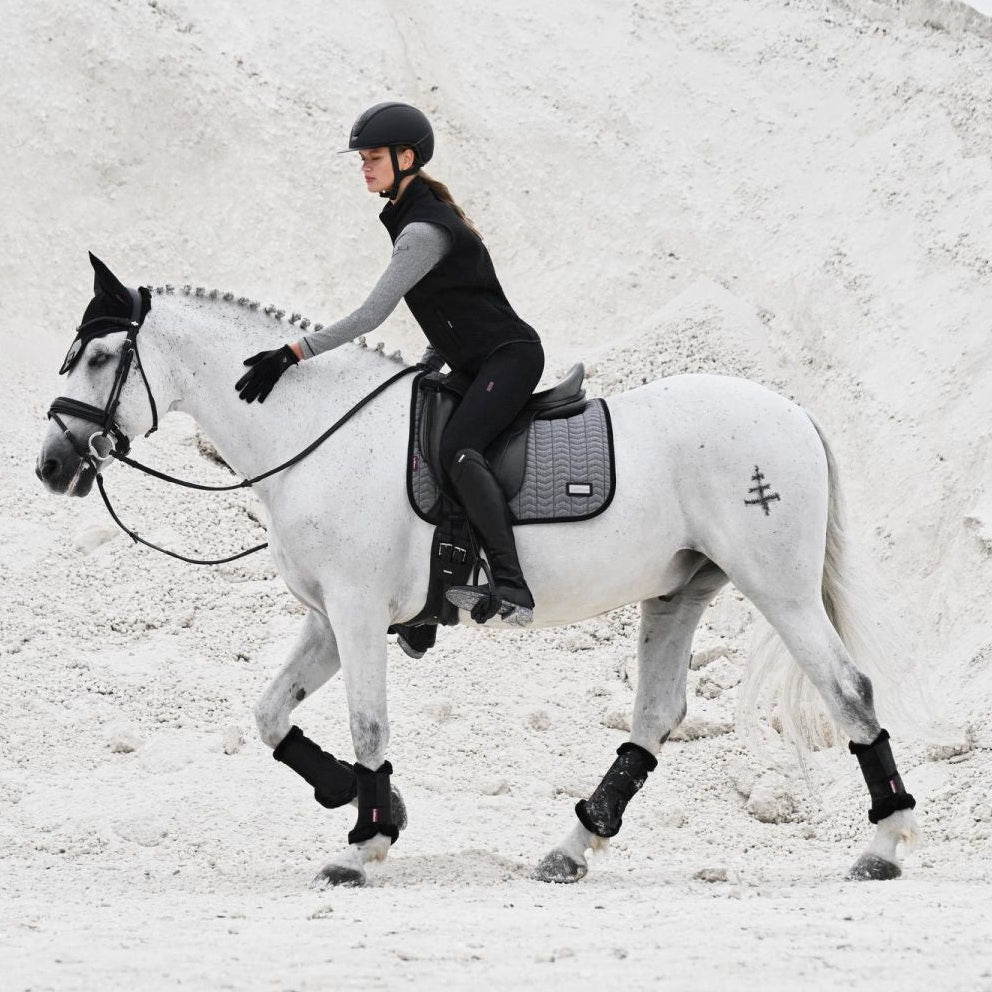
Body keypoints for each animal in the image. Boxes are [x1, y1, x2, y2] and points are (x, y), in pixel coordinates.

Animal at [37, 255, 920, 887]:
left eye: (105, 356)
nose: (51, 464)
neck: (317, 434)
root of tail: (792, 410)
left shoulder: (357, 612)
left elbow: (368, 724)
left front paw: (362, 846)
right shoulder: (326, 619)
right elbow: (269, 714)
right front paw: (370, 803)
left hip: (778, 588)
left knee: (848, 690)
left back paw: (884, 845)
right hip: (678, 591)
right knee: (655, 715)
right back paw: (571, 847)